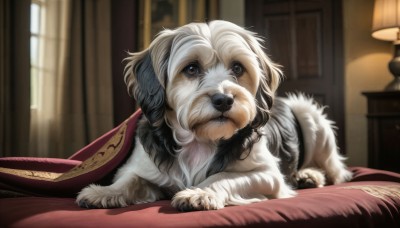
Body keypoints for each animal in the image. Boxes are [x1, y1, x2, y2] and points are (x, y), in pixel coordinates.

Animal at [76, 20, 352, 211]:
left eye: (238, 68)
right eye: (191, 68)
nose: (224, 100)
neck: (200, 140)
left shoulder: (268, 174)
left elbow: (223, 175)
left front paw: (199, 192)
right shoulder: (139, 166)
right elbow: (129, 180)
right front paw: (103, 192)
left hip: (309, 114)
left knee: (337, 172)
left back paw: (310, 174)